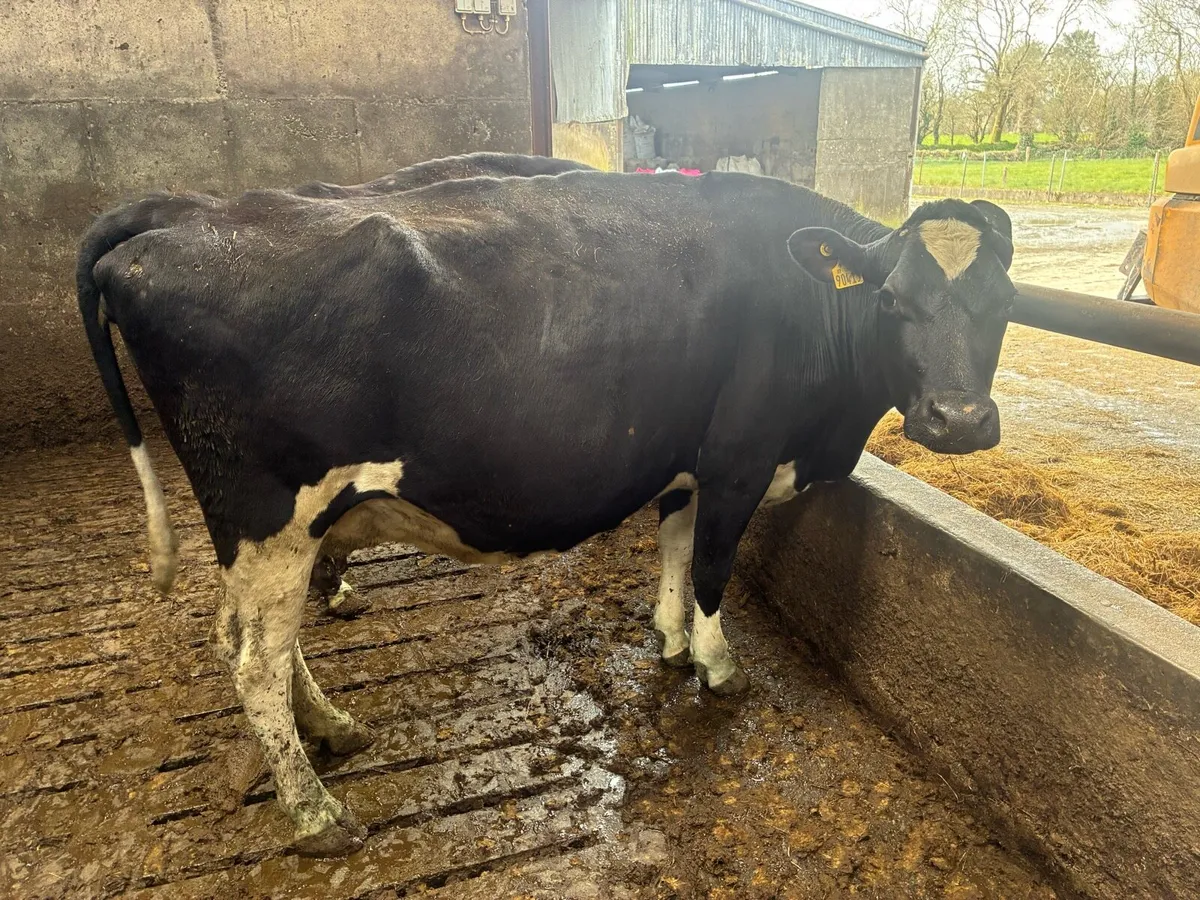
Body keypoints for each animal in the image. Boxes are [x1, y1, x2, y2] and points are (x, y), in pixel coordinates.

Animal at [78, 159, 1014, 856]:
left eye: (1004, 307)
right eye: (891, 300)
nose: (959, 419)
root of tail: (174, 222)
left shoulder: (683, 460)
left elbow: (674, 548)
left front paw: (669, 640)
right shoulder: (740, 459)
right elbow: (714, 566)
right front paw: (717, 666)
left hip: (272, 532)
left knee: (255, 641)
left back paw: (333, 728)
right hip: (270, 514)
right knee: (253, 662)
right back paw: (315, 812)